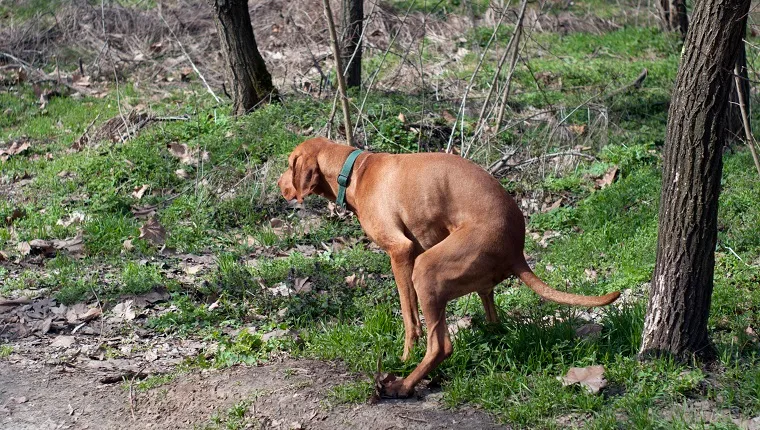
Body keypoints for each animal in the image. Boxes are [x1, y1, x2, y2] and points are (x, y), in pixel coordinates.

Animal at [276, 138, 620, 396]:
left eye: (289, 164)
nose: (279, 187)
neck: (355, 171)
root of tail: (517, 251)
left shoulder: (401, 253)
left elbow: (409, 318)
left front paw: (404, 356)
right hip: (469, 278)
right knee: (493, 318)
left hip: (426, 269)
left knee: (441, 346)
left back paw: (403, 386)